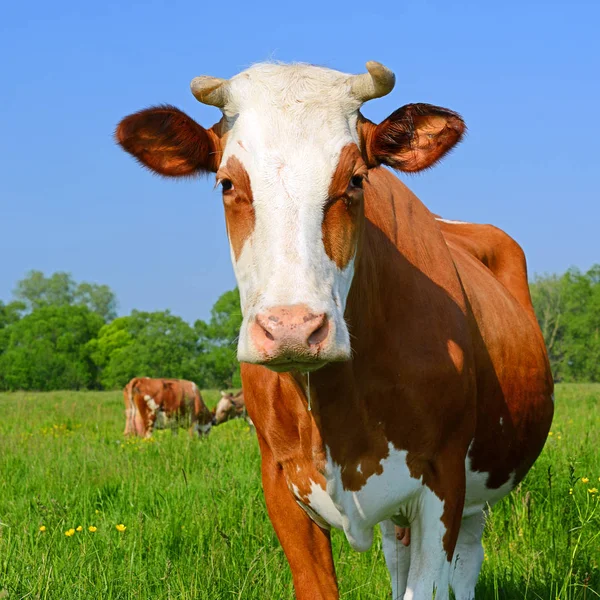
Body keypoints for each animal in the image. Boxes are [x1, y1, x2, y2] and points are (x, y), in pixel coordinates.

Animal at [117, 62, 552, 600]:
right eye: (226, 183)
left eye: (357, 179)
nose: (292, 328)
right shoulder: (280, 483)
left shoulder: (444, 481)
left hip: (479, 492)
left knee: (468, 563)